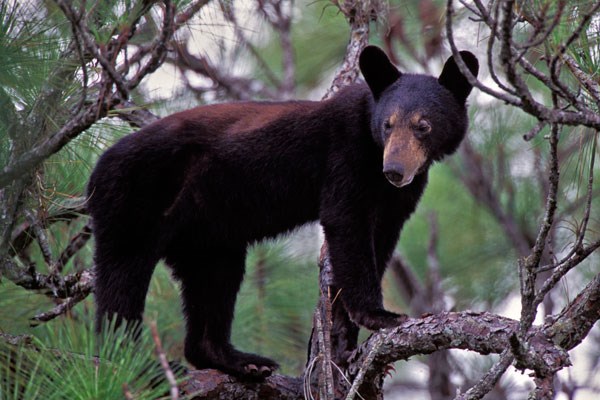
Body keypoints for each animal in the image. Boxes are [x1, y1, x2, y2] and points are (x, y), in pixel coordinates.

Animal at [86, 46, 478, 378]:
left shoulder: (399, 197)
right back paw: (134, 364)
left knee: (214, 281)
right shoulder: (343, 159)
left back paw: (240, 361)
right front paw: (381, 316)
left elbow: (380, 240)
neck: (371, 155)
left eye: (423, 125)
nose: (394, 170)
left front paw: (345, 337)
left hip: (207, 235)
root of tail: (99, 166)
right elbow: (347, 224)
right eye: (388, 124)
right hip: (133, 198)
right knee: (123, 280)